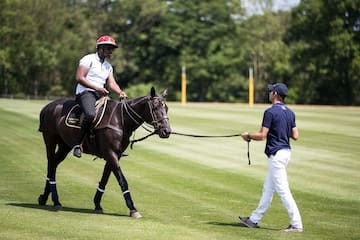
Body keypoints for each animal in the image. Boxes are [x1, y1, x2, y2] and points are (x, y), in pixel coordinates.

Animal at [38, 87, 172, 218]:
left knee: (53, 164)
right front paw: (133, 209)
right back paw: (55, 200)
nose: (167, 131)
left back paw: (45, 197)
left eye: (166, 108)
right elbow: (122, 181)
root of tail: (47, 106)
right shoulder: (110, 153)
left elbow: (104, 179)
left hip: (65, 145)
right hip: (50, 140)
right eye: (155, 108)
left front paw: (97, 204)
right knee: (51, 163)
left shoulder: (115, 155)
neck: (121, 121)